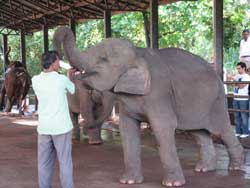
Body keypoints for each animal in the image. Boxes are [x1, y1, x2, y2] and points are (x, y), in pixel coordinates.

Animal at [53, 26, 244, 187]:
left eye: (103, 59)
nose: (57, 56)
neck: (138, 52)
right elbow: (127, 129)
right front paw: (128, 181)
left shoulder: (158, 93)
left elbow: (162, 127)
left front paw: (172, 184)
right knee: (199, 132)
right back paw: (204, 169)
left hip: (217, 101)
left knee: (221, 130)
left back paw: (235, 168)